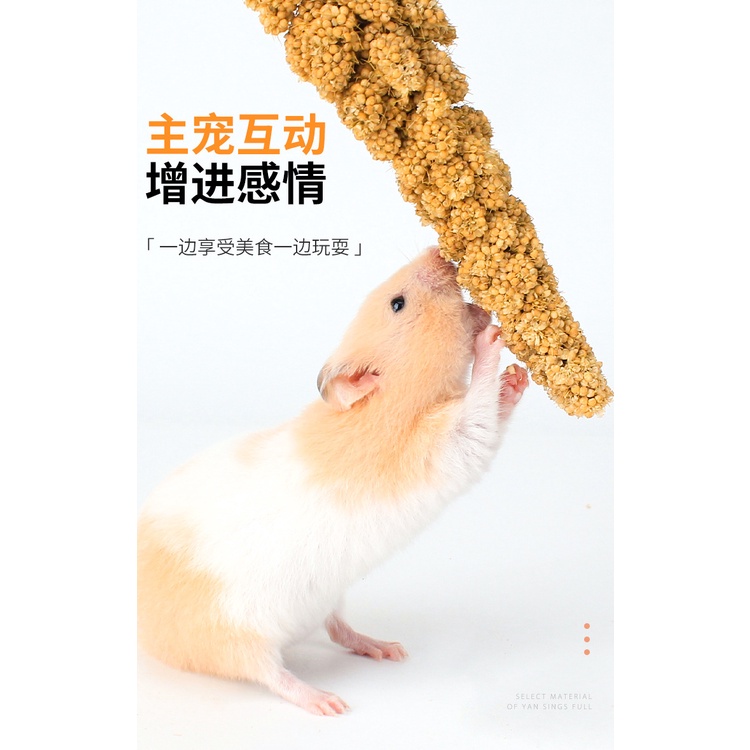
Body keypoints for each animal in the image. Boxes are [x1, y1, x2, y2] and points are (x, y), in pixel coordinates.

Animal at [137, 246, 529, 716]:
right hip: (234, 635)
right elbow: (479, 410)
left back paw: (386, 648)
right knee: (270, 673)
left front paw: (518, 378)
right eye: (398, 303)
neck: (387, 404)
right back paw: (327, 702)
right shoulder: (449, 444)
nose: (438, 251)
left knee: (338, 629)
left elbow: (496, 406)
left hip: (326, 597)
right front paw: (492, 341)